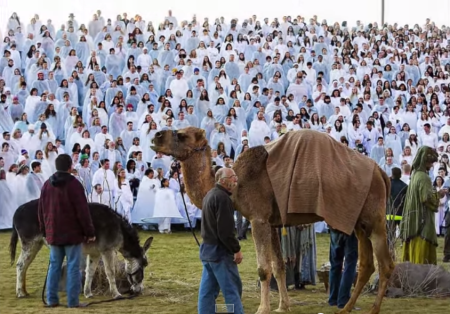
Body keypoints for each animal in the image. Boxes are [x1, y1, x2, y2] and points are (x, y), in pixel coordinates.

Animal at [151, 127, 394, 314]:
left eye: (182, 135)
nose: (156, 136)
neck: (238, 183)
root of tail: (381, 173)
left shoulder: (258, 219)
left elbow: (263, 268)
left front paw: (262, 308)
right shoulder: (273, 223)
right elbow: (279, 266)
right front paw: (283, 306)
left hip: (375, 218)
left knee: (386, 264)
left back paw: (373, 309)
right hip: (359, 222)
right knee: (366, 264)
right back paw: (346, 308)